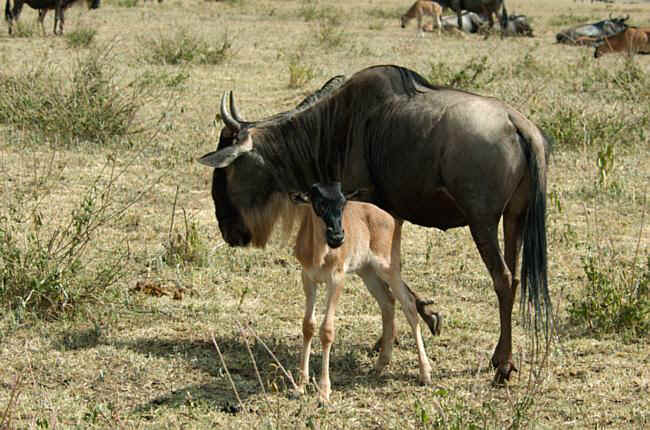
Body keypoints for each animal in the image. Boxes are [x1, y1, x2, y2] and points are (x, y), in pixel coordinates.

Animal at [290, 183, 438, 402]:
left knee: (409, 305)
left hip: (389, 268)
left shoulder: (337, 279)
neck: (321, 253)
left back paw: (425, 373)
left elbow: (327, 330)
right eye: (319, 203)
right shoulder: (308, 278)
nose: (337, 237)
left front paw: (324, 392)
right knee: (387, 302)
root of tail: (391, 218)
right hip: (367, 272)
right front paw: (300, 385)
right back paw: (380, 364)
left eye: (343, 203)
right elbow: (308, 325)